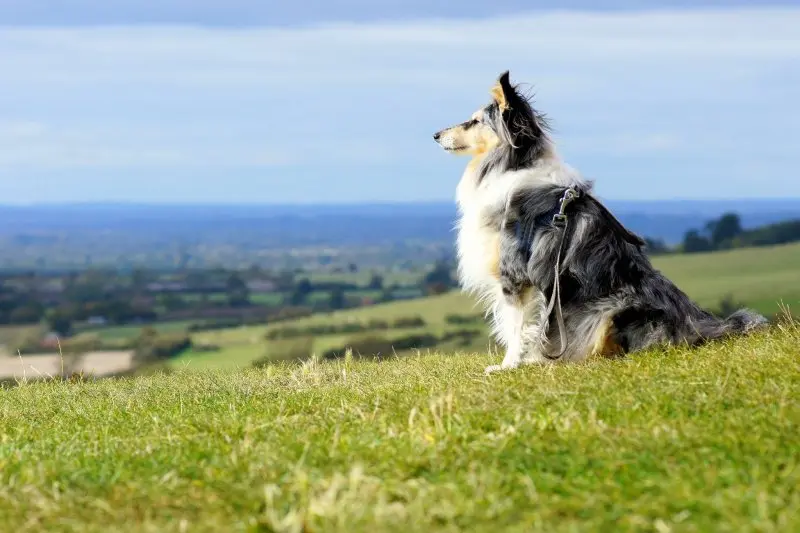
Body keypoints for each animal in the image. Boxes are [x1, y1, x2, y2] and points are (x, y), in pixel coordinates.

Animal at [434, 68, 764, 372]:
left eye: (475, 121)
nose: (435, 135)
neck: (515, 164)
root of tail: (700, 326)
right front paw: (531, 360)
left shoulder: (515, 272)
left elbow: (517, 327)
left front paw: (508, 366)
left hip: (612, 307)